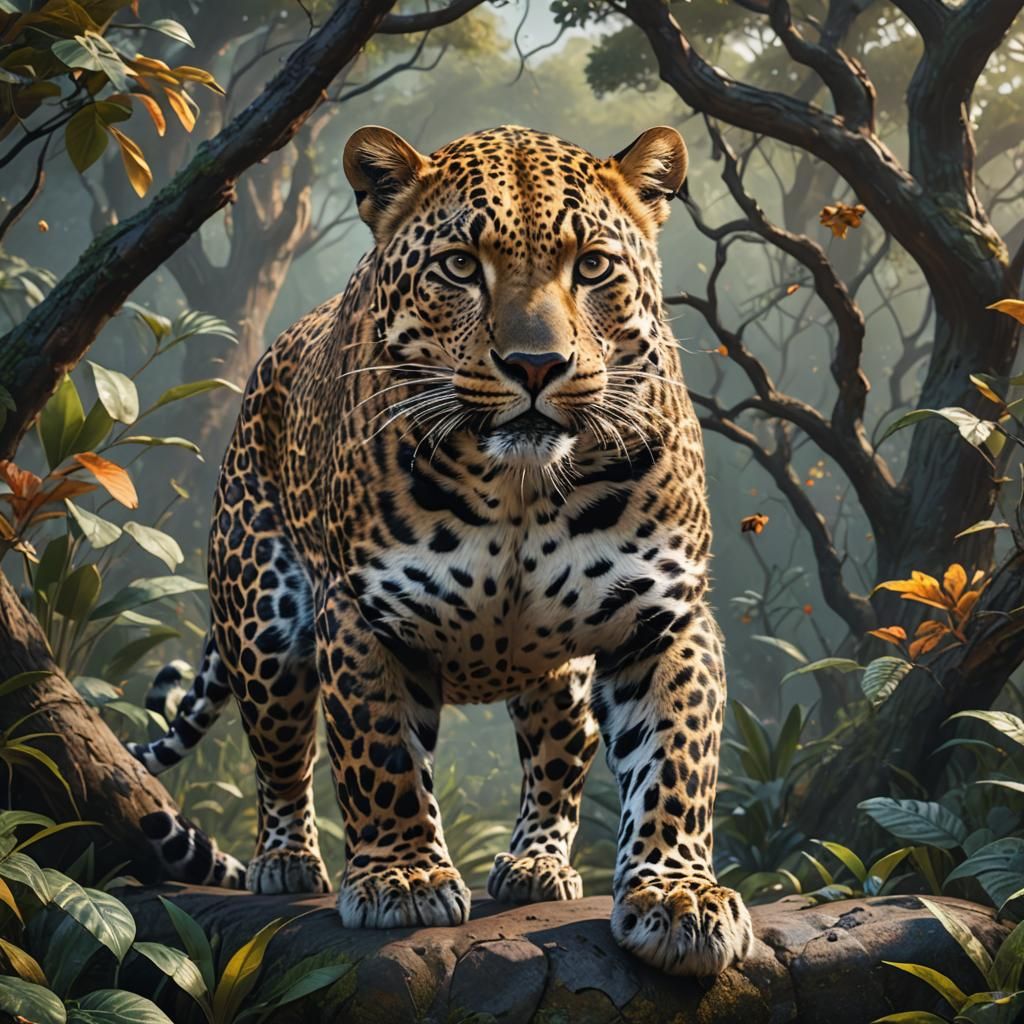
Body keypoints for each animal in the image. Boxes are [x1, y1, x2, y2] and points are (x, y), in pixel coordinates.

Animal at [127, 123, 755, 976]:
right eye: (461, 265)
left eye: (592, 266)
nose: (535, 366)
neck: (523, 483)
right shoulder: (363, 615)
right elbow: (380, 754)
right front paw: (402, 878)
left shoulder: (663, 615)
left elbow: (677, 761)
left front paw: (678, 895)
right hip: (261, 626)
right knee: (281, 755)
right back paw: (285, 861)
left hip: (557, 675)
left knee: (558, 754)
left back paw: (536, 863)